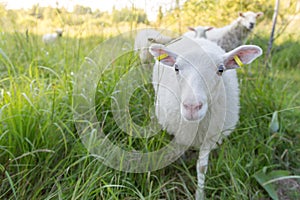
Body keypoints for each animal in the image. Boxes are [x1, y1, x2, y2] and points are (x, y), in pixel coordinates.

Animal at [149, 36, 262, 199]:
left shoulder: (211, 136)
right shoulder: (180, 133)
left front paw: (200, 193)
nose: (192, 107)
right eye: (176, 68)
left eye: (221, 70)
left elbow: (202, 167)